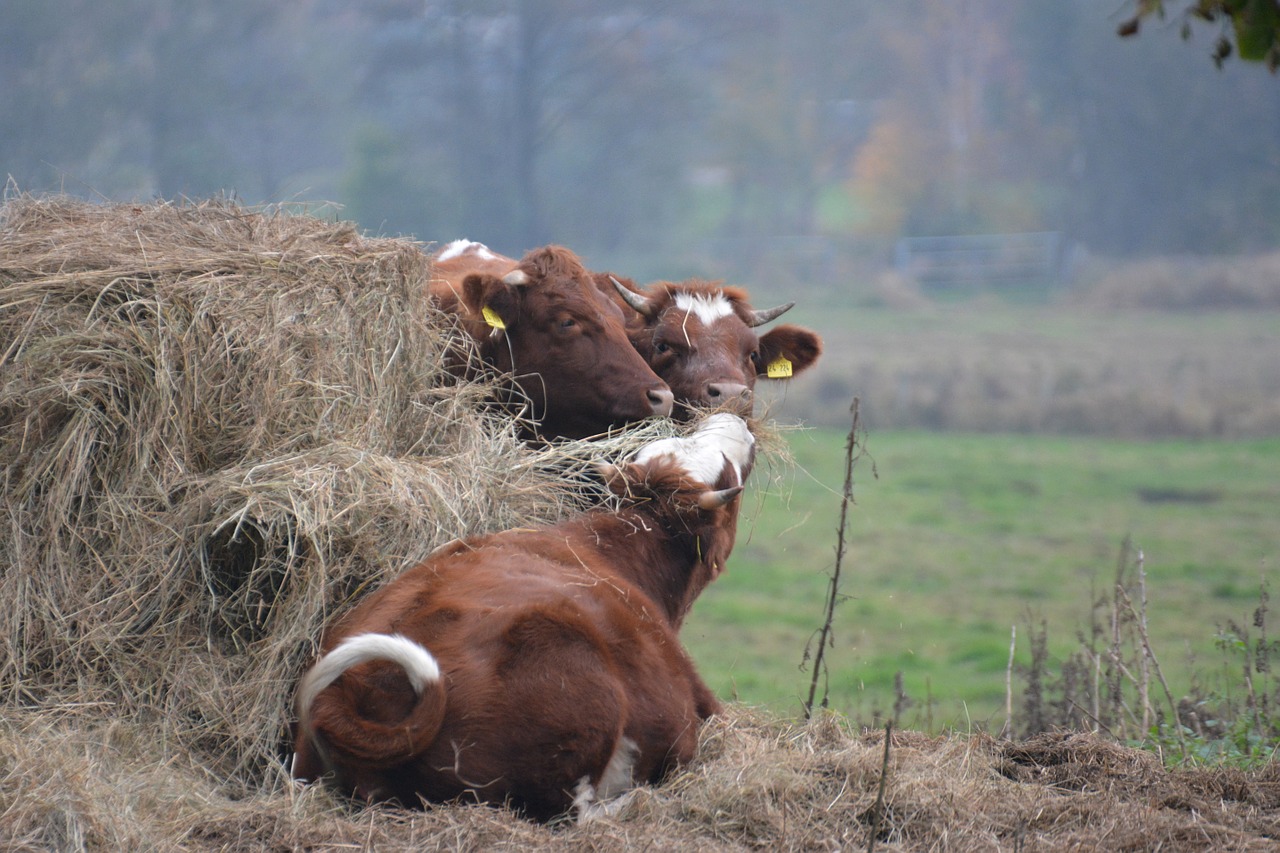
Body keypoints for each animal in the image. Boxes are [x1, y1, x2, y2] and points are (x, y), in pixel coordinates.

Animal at [294, 412, 752, 819]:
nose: (734, 419)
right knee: (572, 812)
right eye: (727, 474)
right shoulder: (700, 705)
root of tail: (349, 691)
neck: (617, 548)